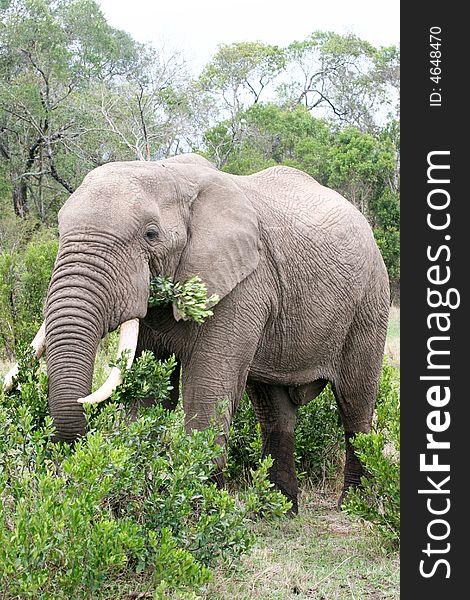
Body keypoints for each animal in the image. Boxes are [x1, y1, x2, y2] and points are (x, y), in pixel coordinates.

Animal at [3, 154, 390, 510]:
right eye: (59, 230)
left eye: (151, 234)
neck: (172, 174)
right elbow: (149, 396)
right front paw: (131, 503)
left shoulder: (243, 284)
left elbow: (206, 388)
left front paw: (195, 509)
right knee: (274, 409)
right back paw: (277, 510)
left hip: (370, 300)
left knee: (355, 401)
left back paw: (353, 504)